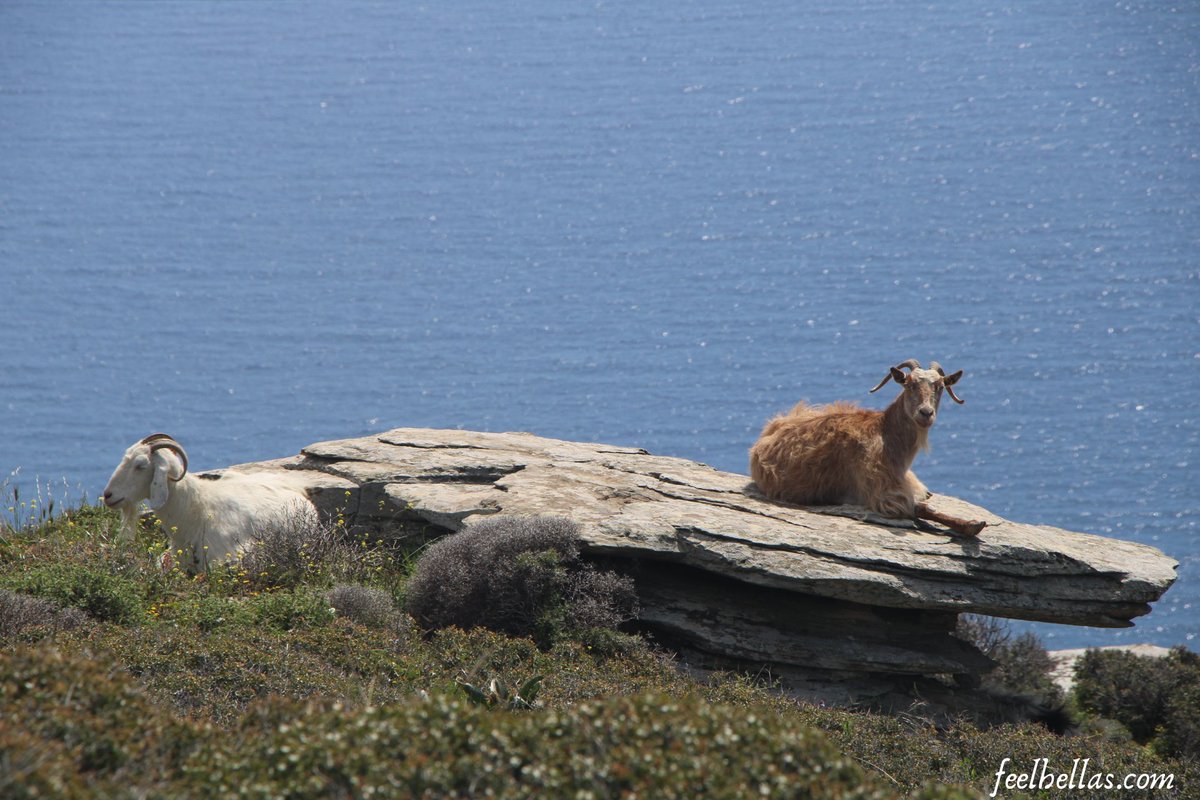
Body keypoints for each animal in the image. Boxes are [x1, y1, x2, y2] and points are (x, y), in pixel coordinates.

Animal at [748, 359, 984, 534]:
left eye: (941, 386)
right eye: (909, 384)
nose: (925, 413)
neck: (886, 434)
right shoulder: (879, 491)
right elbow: (918, 508)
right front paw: (973, 525)